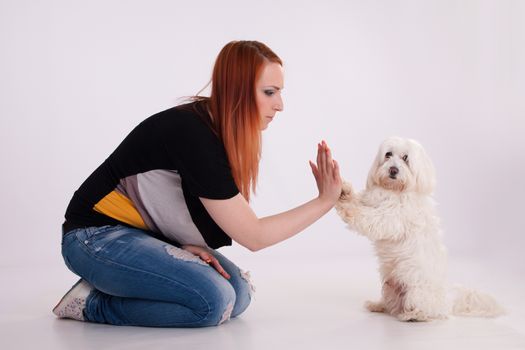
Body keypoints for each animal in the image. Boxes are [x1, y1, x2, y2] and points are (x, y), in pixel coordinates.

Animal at [336, 135, 504, 322]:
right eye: (388, 154)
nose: (393, 170)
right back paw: (378, 305)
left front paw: (349, 209)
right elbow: (360, 200)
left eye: (405, 158)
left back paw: (413, 315)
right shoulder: (373, 200)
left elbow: (366, 216)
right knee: (391, 306)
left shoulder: (390, 220)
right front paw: (344, 192)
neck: (395, 191)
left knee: (428, 312)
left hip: (415, 290)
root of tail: (447, 302)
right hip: (389, 286)